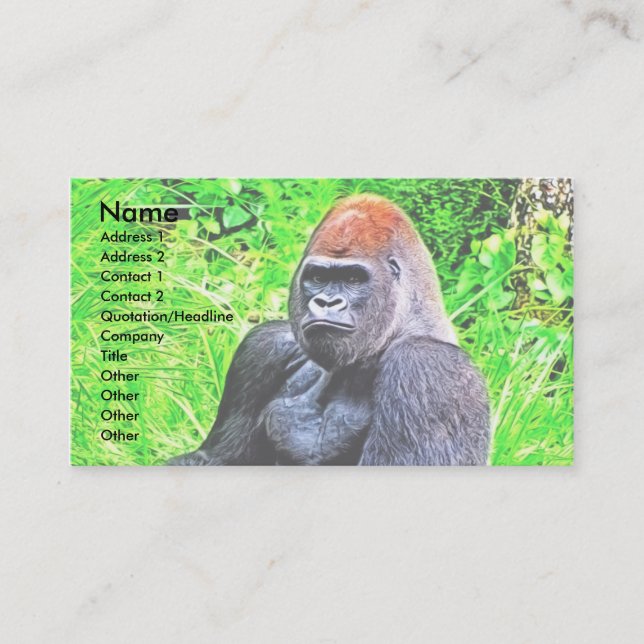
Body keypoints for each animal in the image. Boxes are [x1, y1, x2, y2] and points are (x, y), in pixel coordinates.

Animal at [167, 194, 490, 465]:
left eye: (354, 278)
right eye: (318, 277)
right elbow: (216, 458)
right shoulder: (264, 346)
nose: (327, 301)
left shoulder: (427, 367)